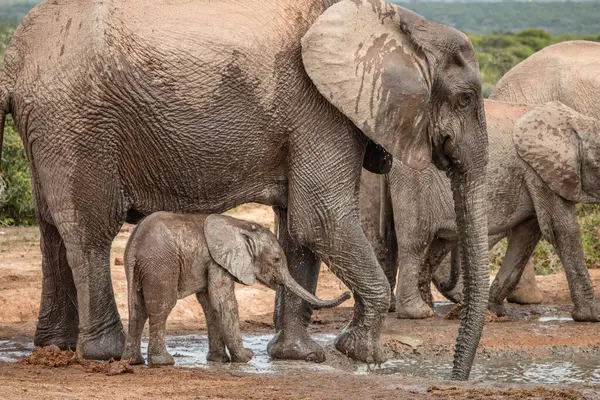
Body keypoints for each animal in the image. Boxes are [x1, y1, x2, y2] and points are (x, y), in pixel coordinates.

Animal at [120, 212, 350, 366]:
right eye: (276, 259)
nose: (348, 293)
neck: (242, 225)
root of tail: (133, 246)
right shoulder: (217, 263)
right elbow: (223, 302)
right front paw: (246, 357)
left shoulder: (211, 263)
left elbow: (211, 305)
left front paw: (219, 360)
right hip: (160, 266)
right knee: (162, 307)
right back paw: (163, 362)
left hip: (143, 268)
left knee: (137, 309)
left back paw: (133, 361)